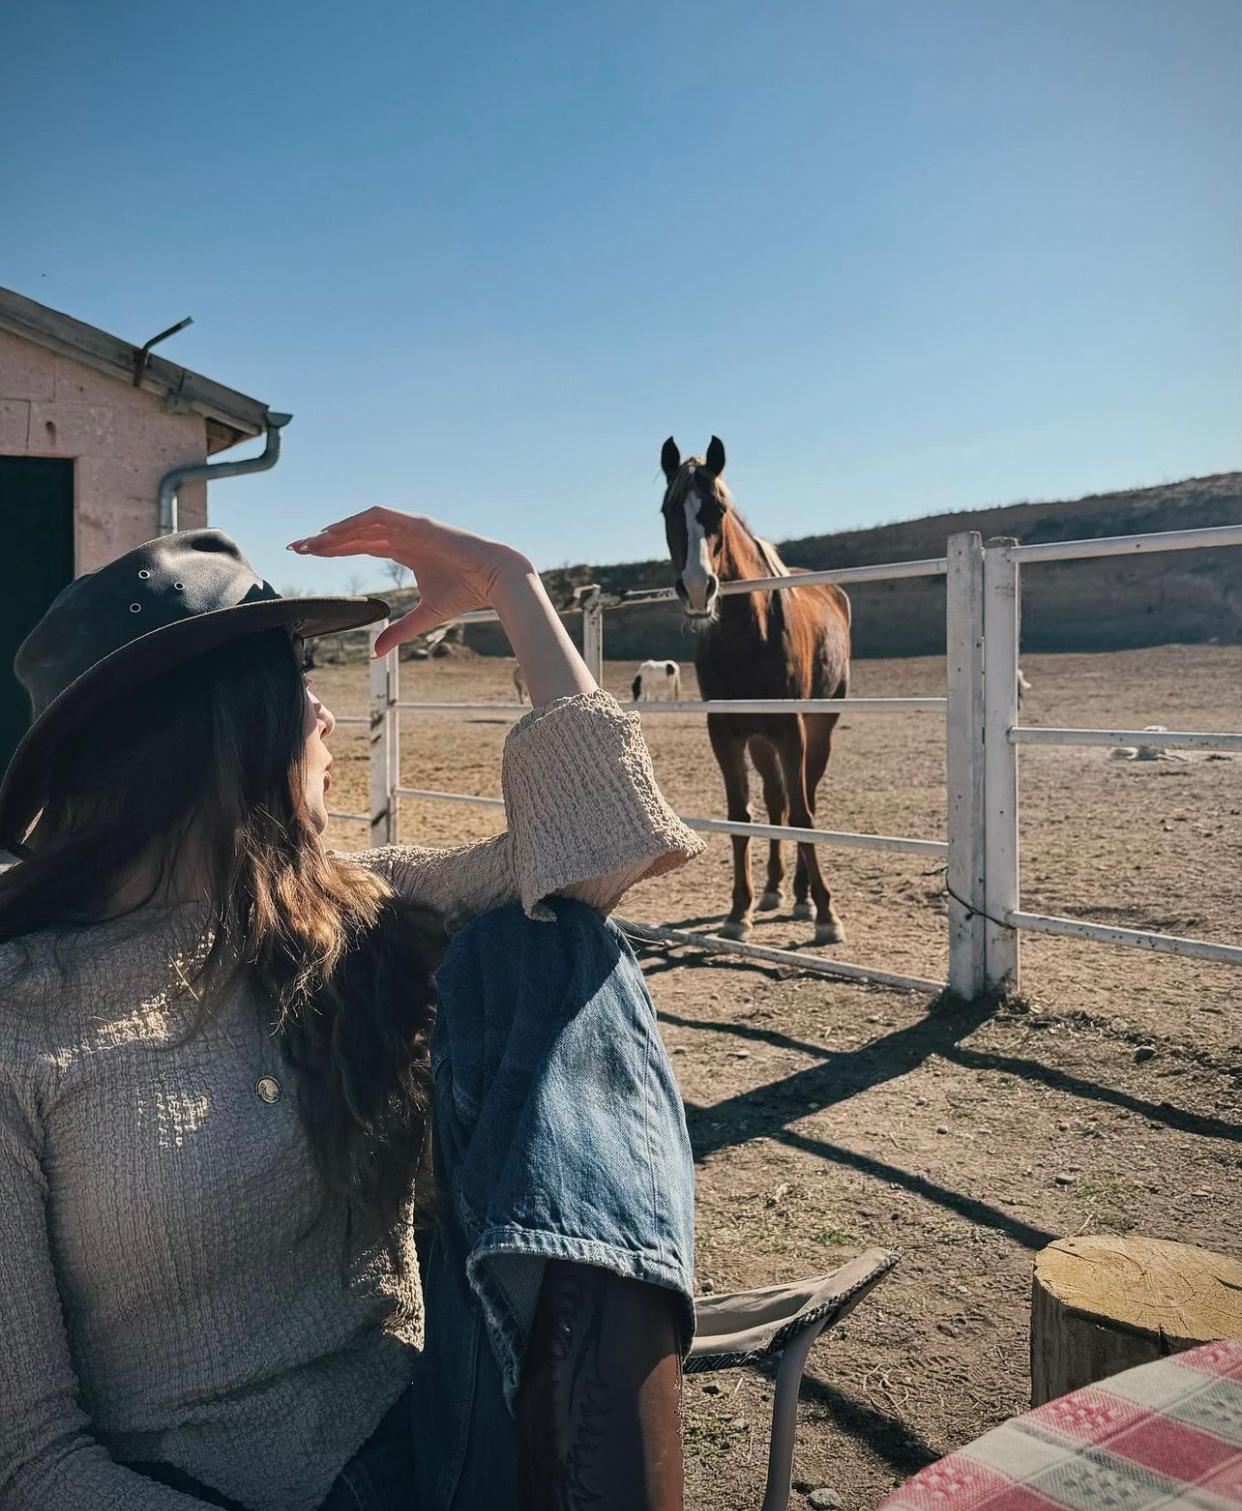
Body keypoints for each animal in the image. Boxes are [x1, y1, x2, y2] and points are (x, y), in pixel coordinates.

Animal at [661, 432, 858, 942]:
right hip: (762, 740)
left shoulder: (792, 729)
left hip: (818, 728)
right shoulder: (727, 733)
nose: (697, 588)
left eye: (718, 509)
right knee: (776, 802)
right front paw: (739, 910)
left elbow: (804, 816)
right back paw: (773, 889)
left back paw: (805, 896)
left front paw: (827, 913)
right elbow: (741, 815)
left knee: (804, 799)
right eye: (668, 510)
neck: (747, 636)